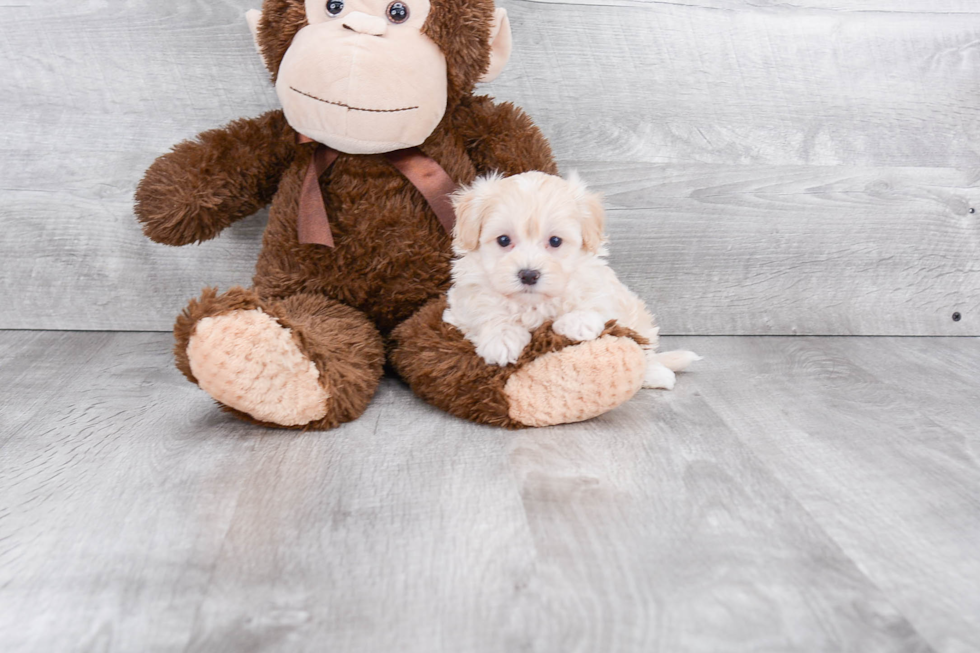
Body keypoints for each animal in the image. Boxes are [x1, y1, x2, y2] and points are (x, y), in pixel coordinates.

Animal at [444, 171, 696, 390]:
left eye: (555, 241)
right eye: (503, 240)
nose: (528, 275)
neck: (533, 304)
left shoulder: (600, 285)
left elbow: (594, 301)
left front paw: (578, 322)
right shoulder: (463, 301)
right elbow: (484, 309)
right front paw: (502, 339)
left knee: (647, 350)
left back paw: (656, 374)